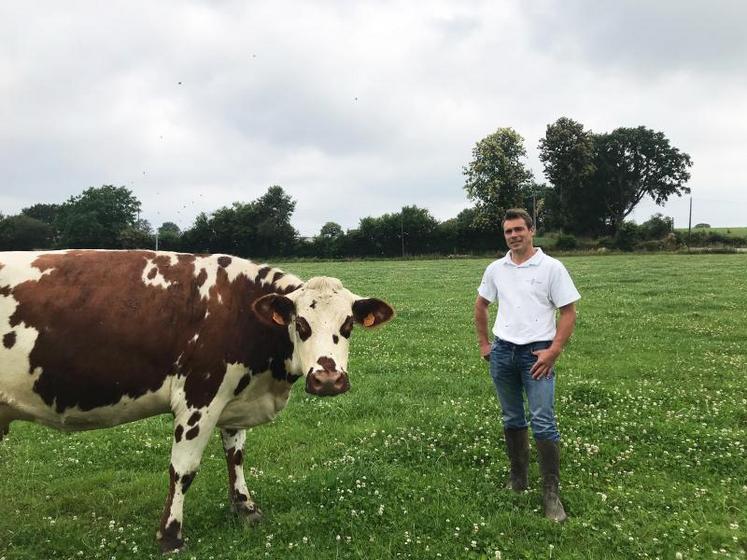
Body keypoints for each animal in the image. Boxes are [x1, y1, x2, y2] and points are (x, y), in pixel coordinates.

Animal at [0, 252, 398, 552]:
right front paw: (170, 535)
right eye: (301, 323)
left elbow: (235, 455)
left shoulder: (234, 397)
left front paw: (245, 508)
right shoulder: (199, 397)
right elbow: (183, 470)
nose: (328, 379)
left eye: (348, 325)